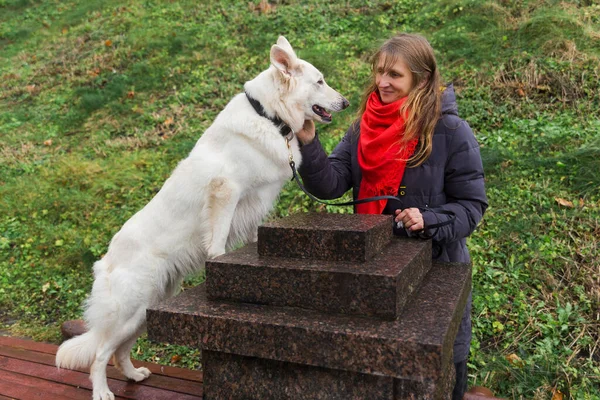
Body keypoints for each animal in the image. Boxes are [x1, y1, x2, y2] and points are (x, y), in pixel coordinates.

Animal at [56, 36, 346, 398]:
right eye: (320, 82)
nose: (347, 102)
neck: (269, 116)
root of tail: (104, 262)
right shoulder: (226, 192)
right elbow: (218, 241)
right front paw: (219, 264)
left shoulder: (253, 206)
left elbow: (254, 236)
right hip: (128, 313)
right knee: (98, 355)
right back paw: (101, 391)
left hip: (144, 311)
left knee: (119, 352)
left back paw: (134, 376)